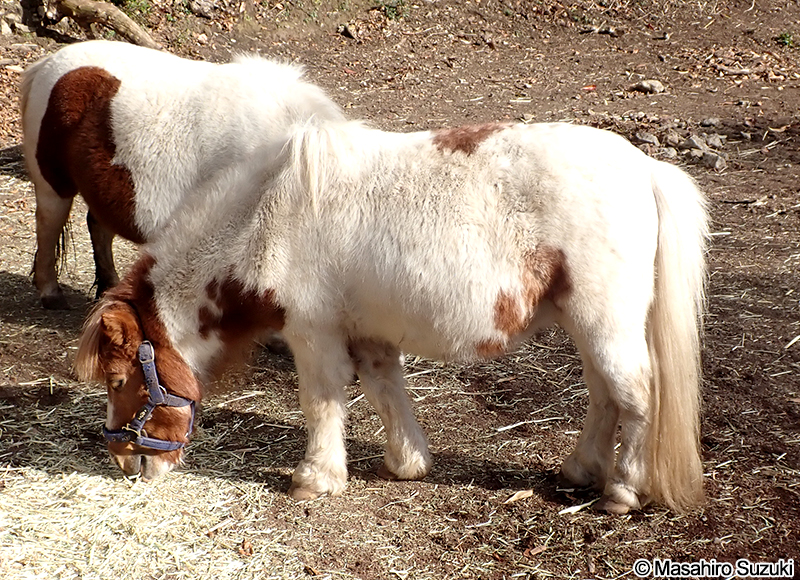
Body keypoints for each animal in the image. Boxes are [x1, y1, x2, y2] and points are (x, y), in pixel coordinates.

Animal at [20, 39, 344, 309]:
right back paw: (51, 294)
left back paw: (109, 289)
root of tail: (47, 64)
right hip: (52, 185)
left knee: (98, 226)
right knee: (48, 225)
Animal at [75, 119, 709, 514]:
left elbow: (322, 401)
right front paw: (408, 463)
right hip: (591, 327)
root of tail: (645, 169)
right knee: (605, 397)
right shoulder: (369, 335)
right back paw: (580, 469)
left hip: (604, 326)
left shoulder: (314, 335)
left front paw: (317, 478)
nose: (126, 462)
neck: (264, 214)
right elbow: (386, 392)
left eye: (119, 379)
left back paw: (622, 490)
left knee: (636, 397)